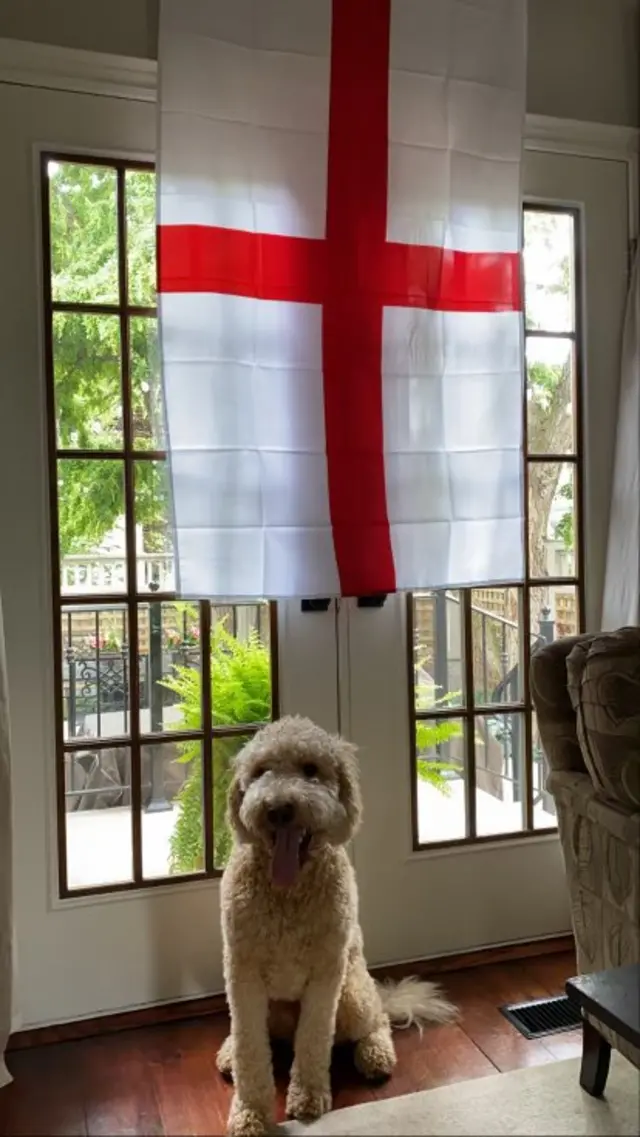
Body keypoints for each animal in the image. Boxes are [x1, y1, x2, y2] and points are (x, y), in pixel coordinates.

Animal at [218, 714, 459, 1132]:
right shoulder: (242, 973)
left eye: (311, 770)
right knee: (252, 1036)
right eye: (261, 771)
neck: (288, 892)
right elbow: (250, 1048)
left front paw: (309, 1098)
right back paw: (229, 1052)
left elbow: (314, 1039)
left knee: (377, 1020)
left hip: (353, 996)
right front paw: (250, 1114)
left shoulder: (325, 974)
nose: (278, 809)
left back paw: (376, 1054)